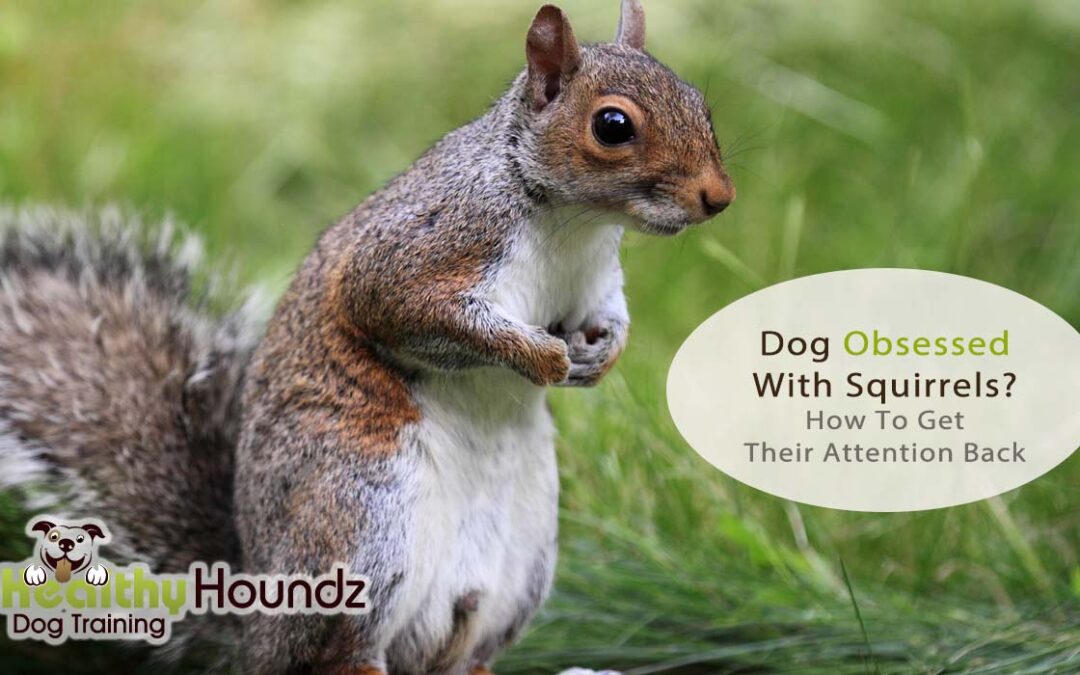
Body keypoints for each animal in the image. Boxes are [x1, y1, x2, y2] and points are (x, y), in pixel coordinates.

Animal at [0, 2, 733, 674]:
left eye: (700, 101)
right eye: (613, 125)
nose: (718, 197)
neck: (570, 221)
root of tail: (255, 624)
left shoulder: (595, 282)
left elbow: (611, 316)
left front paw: (600, 356)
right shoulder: (421, 251)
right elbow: (412, 312)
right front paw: (541, 355)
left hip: (521, 562)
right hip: (358, 516)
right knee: (337, 652)